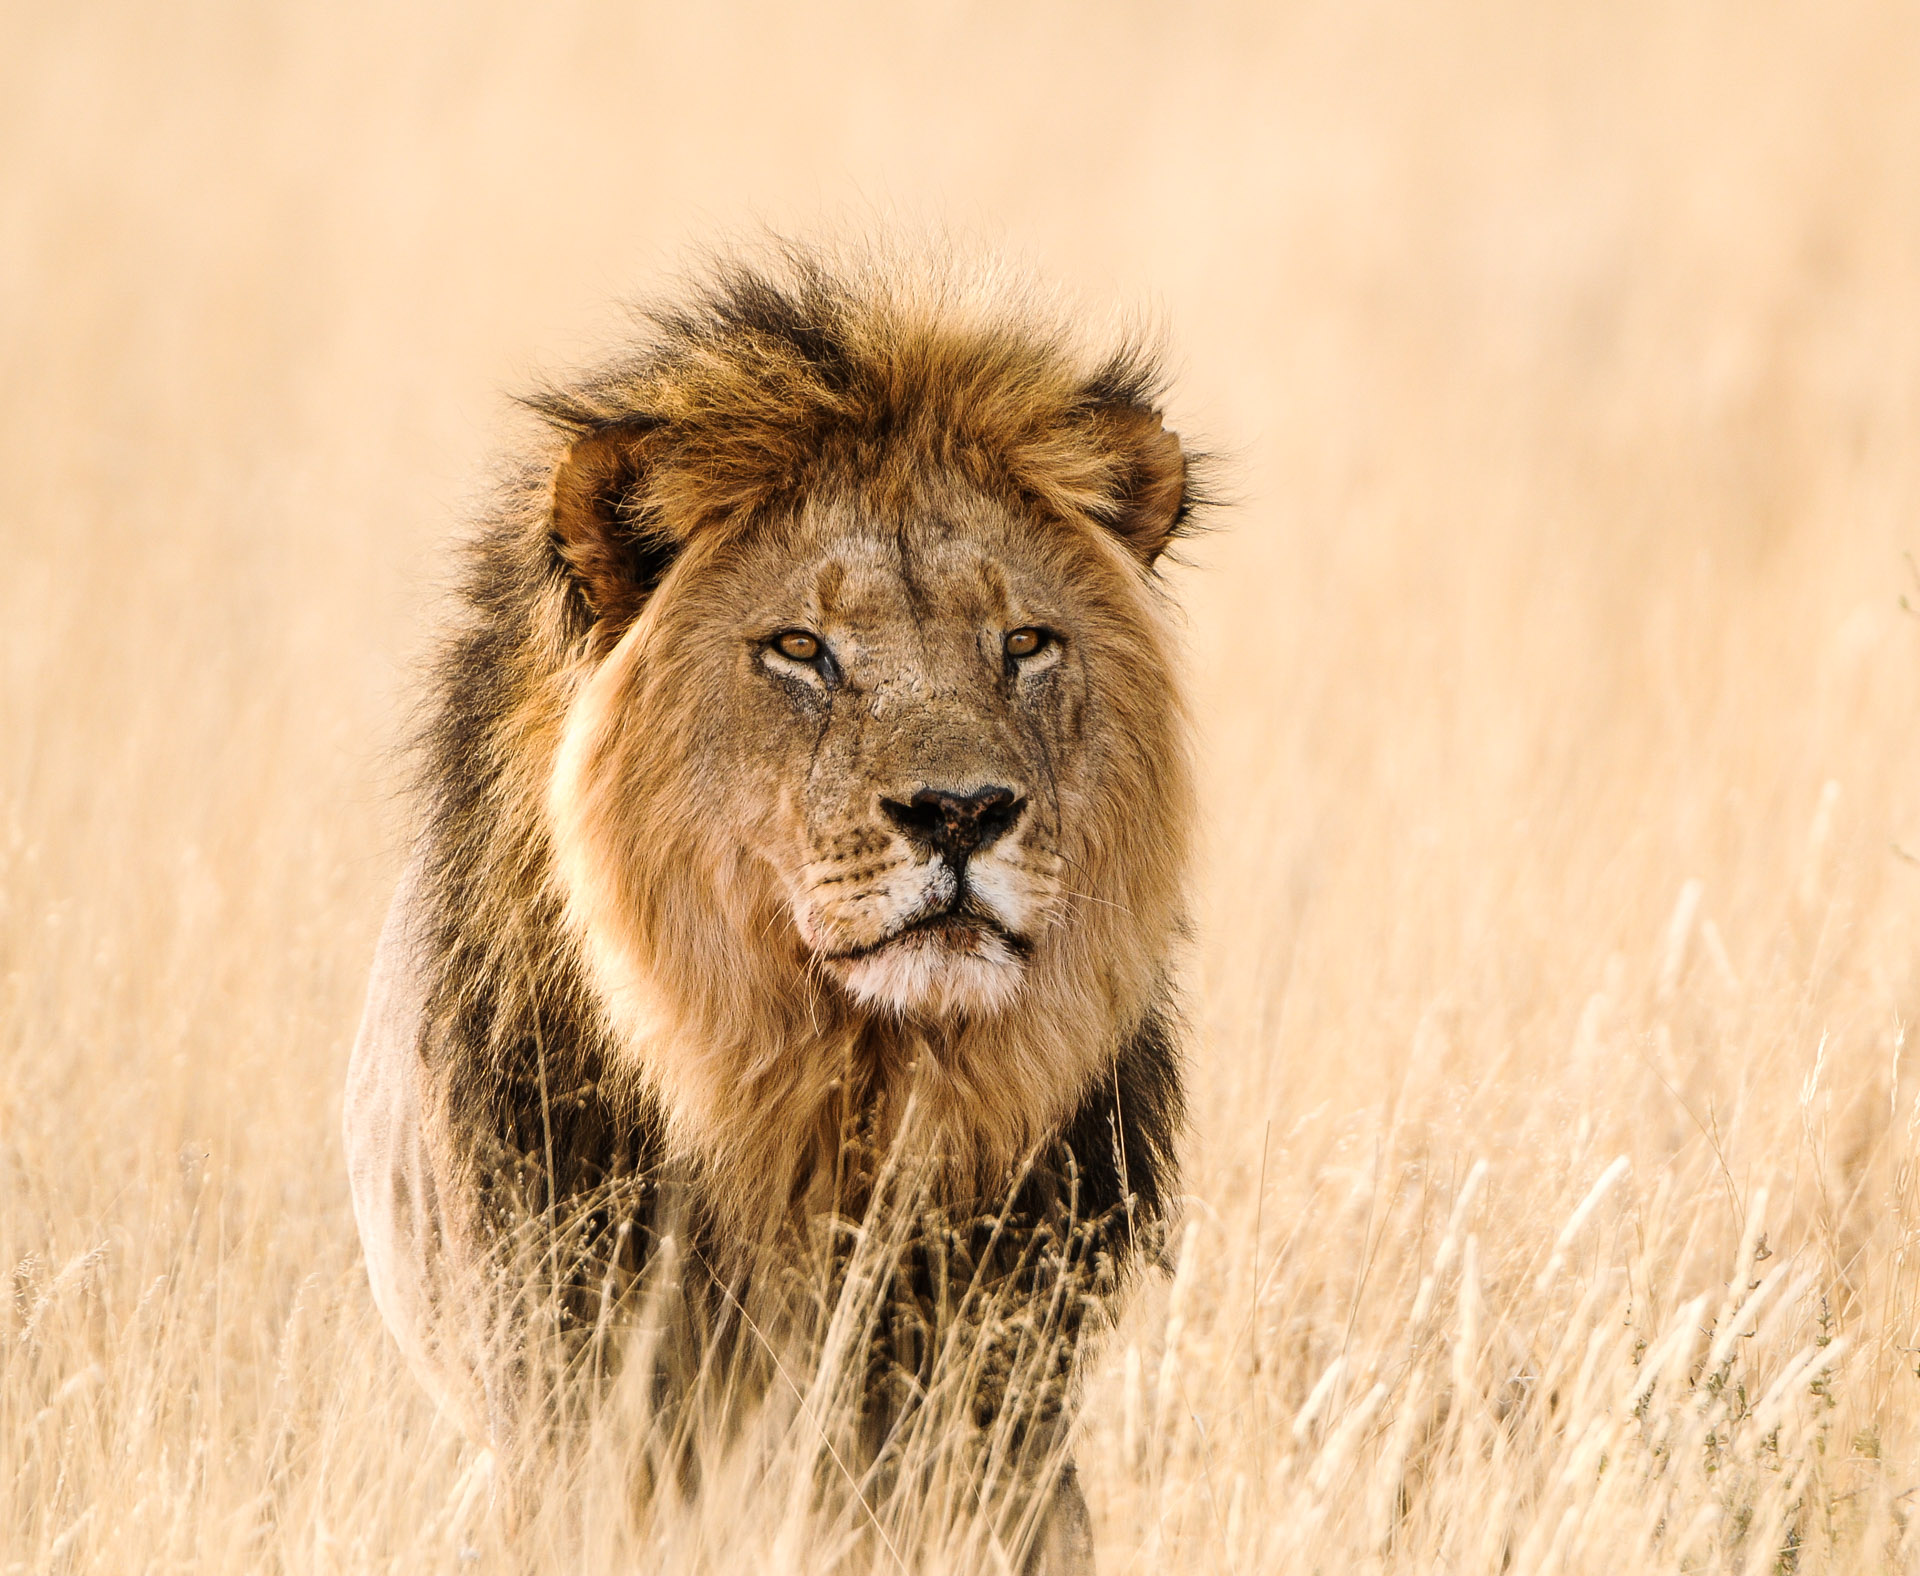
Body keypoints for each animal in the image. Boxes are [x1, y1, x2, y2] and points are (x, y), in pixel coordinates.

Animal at [343, 242, 1201, 1571]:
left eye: (1024, 643)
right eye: (802, 647)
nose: (962, 812)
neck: (840, 1094)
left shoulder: (992, 1394)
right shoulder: (579, 1385)